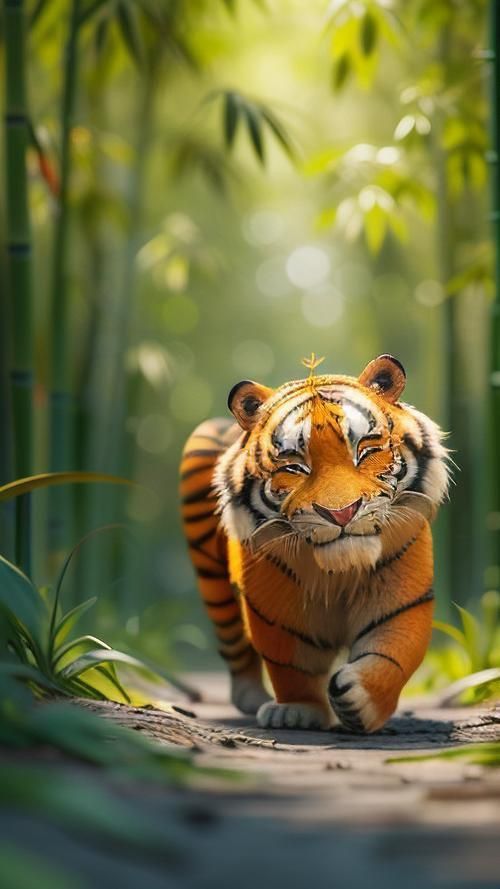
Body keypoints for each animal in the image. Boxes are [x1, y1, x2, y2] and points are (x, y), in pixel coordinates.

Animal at [180, 355, 449, 733]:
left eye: (365, 452)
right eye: (295, 467)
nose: (341, 512)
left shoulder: (401, 599)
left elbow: (393, 651)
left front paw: (360, 700)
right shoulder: (276, 613)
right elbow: (292, 665)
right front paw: (297, 711)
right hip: (211, 578)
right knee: (233, 641)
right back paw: (251, 697)